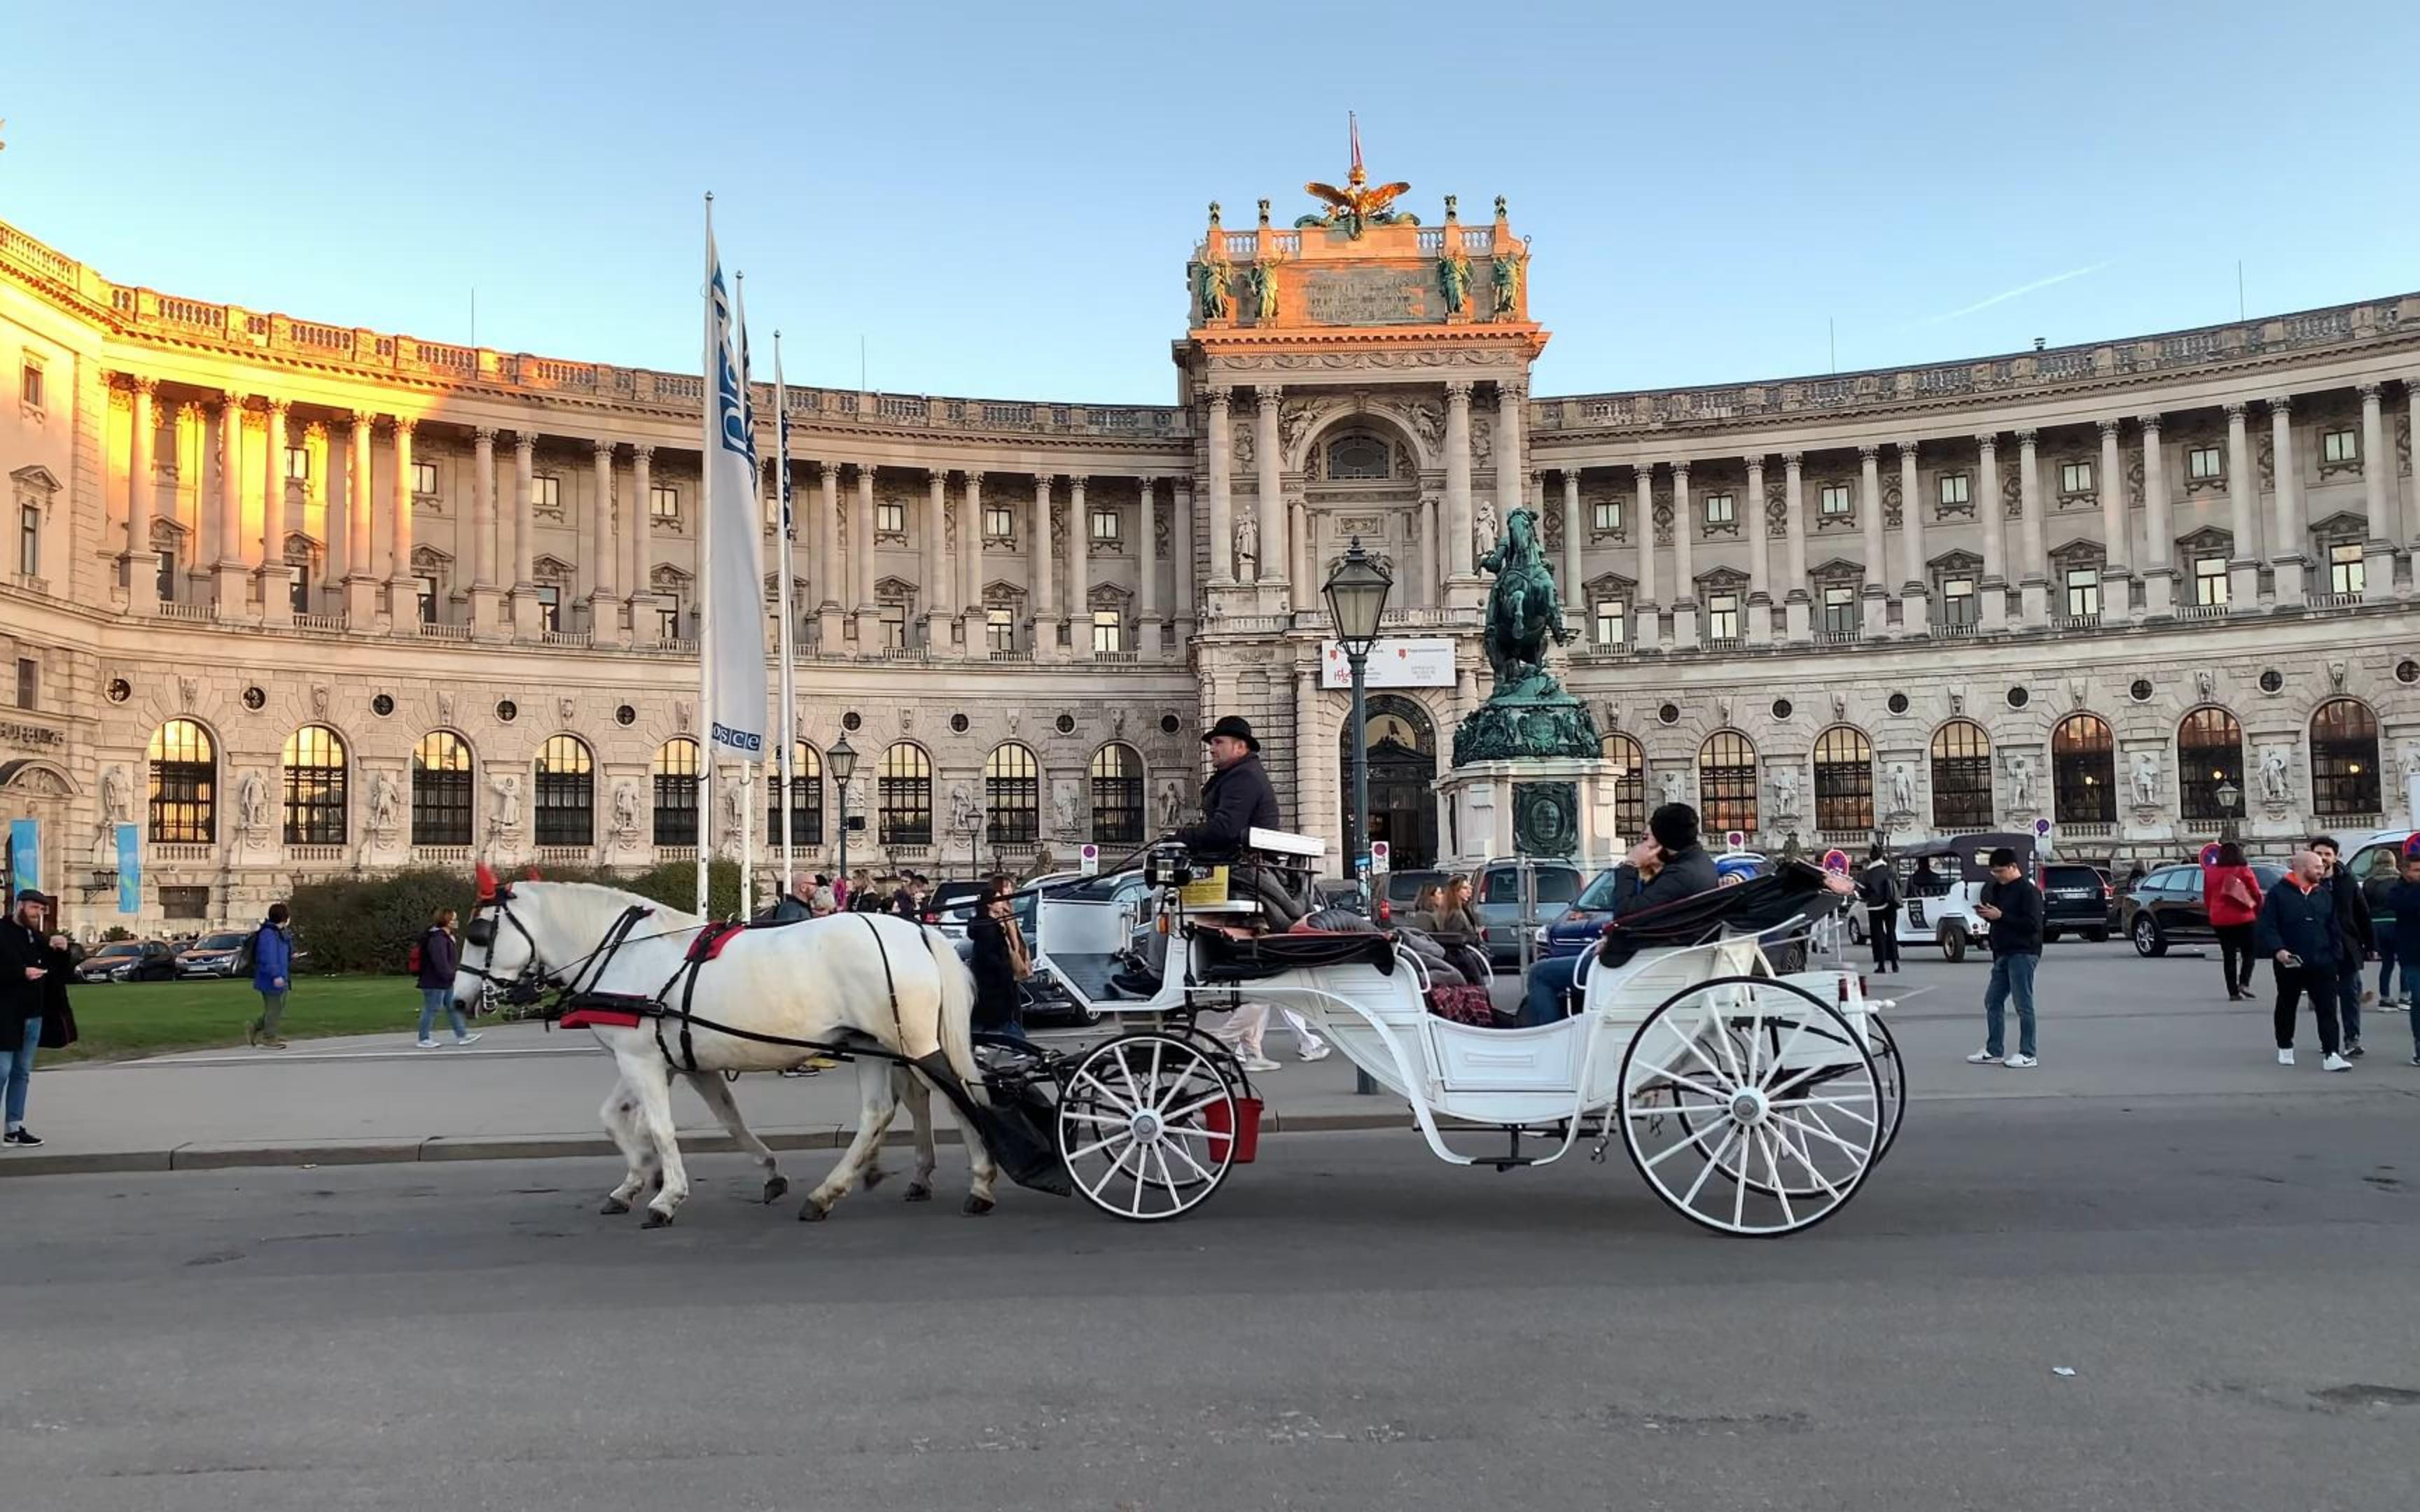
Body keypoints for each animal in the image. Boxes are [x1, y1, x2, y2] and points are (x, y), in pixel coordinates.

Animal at [454, 871, 992, 1228]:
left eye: (479, 934)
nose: (460, 1000)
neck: (625, 952)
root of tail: (918, 930)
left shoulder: (641, 1060)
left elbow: (660, 1127)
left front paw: (665, 1195)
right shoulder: (673, 1061)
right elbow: (698, 1119)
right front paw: (639, 1178)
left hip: (911, 1042)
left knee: (958, 1097)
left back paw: (981, 1182)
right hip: (871, 1044)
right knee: (882, 1111)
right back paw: (832, 1191)